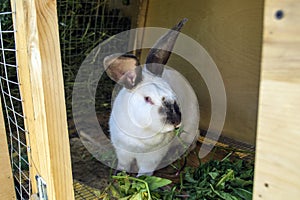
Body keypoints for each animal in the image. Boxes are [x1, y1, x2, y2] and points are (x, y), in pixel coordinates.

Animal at [103, 18, 193, 175]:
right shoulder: (123, 152)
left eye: (173, 93)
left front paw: (141, 180)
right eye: (148, 99)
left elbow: (145, 172)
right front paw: (119, 175)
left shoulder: (152, 159)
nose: (176, 121)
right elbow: (123, 165)